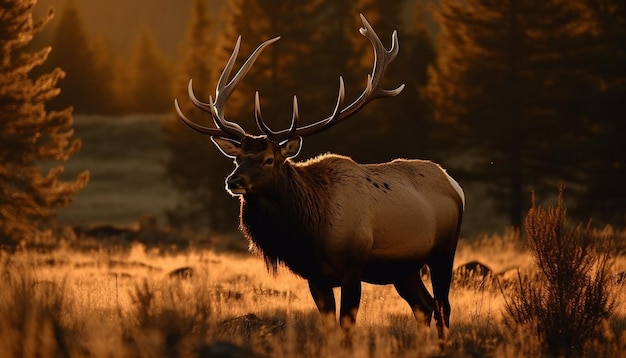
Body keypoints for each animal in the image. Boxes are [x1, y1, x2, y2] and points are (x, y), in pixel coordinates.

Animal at [176, 15, 464, 346]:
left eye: (269, 159)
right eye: (237, 159)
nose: (233, 181)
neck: (308, 231)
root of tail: (454, 184)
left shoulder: (354, 266)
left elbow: (347, 326)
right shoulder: (315, 276)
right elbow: (330, 329)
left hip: (443, 250)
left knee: (443, 305)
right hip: (404, 268)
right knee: (424, 306)